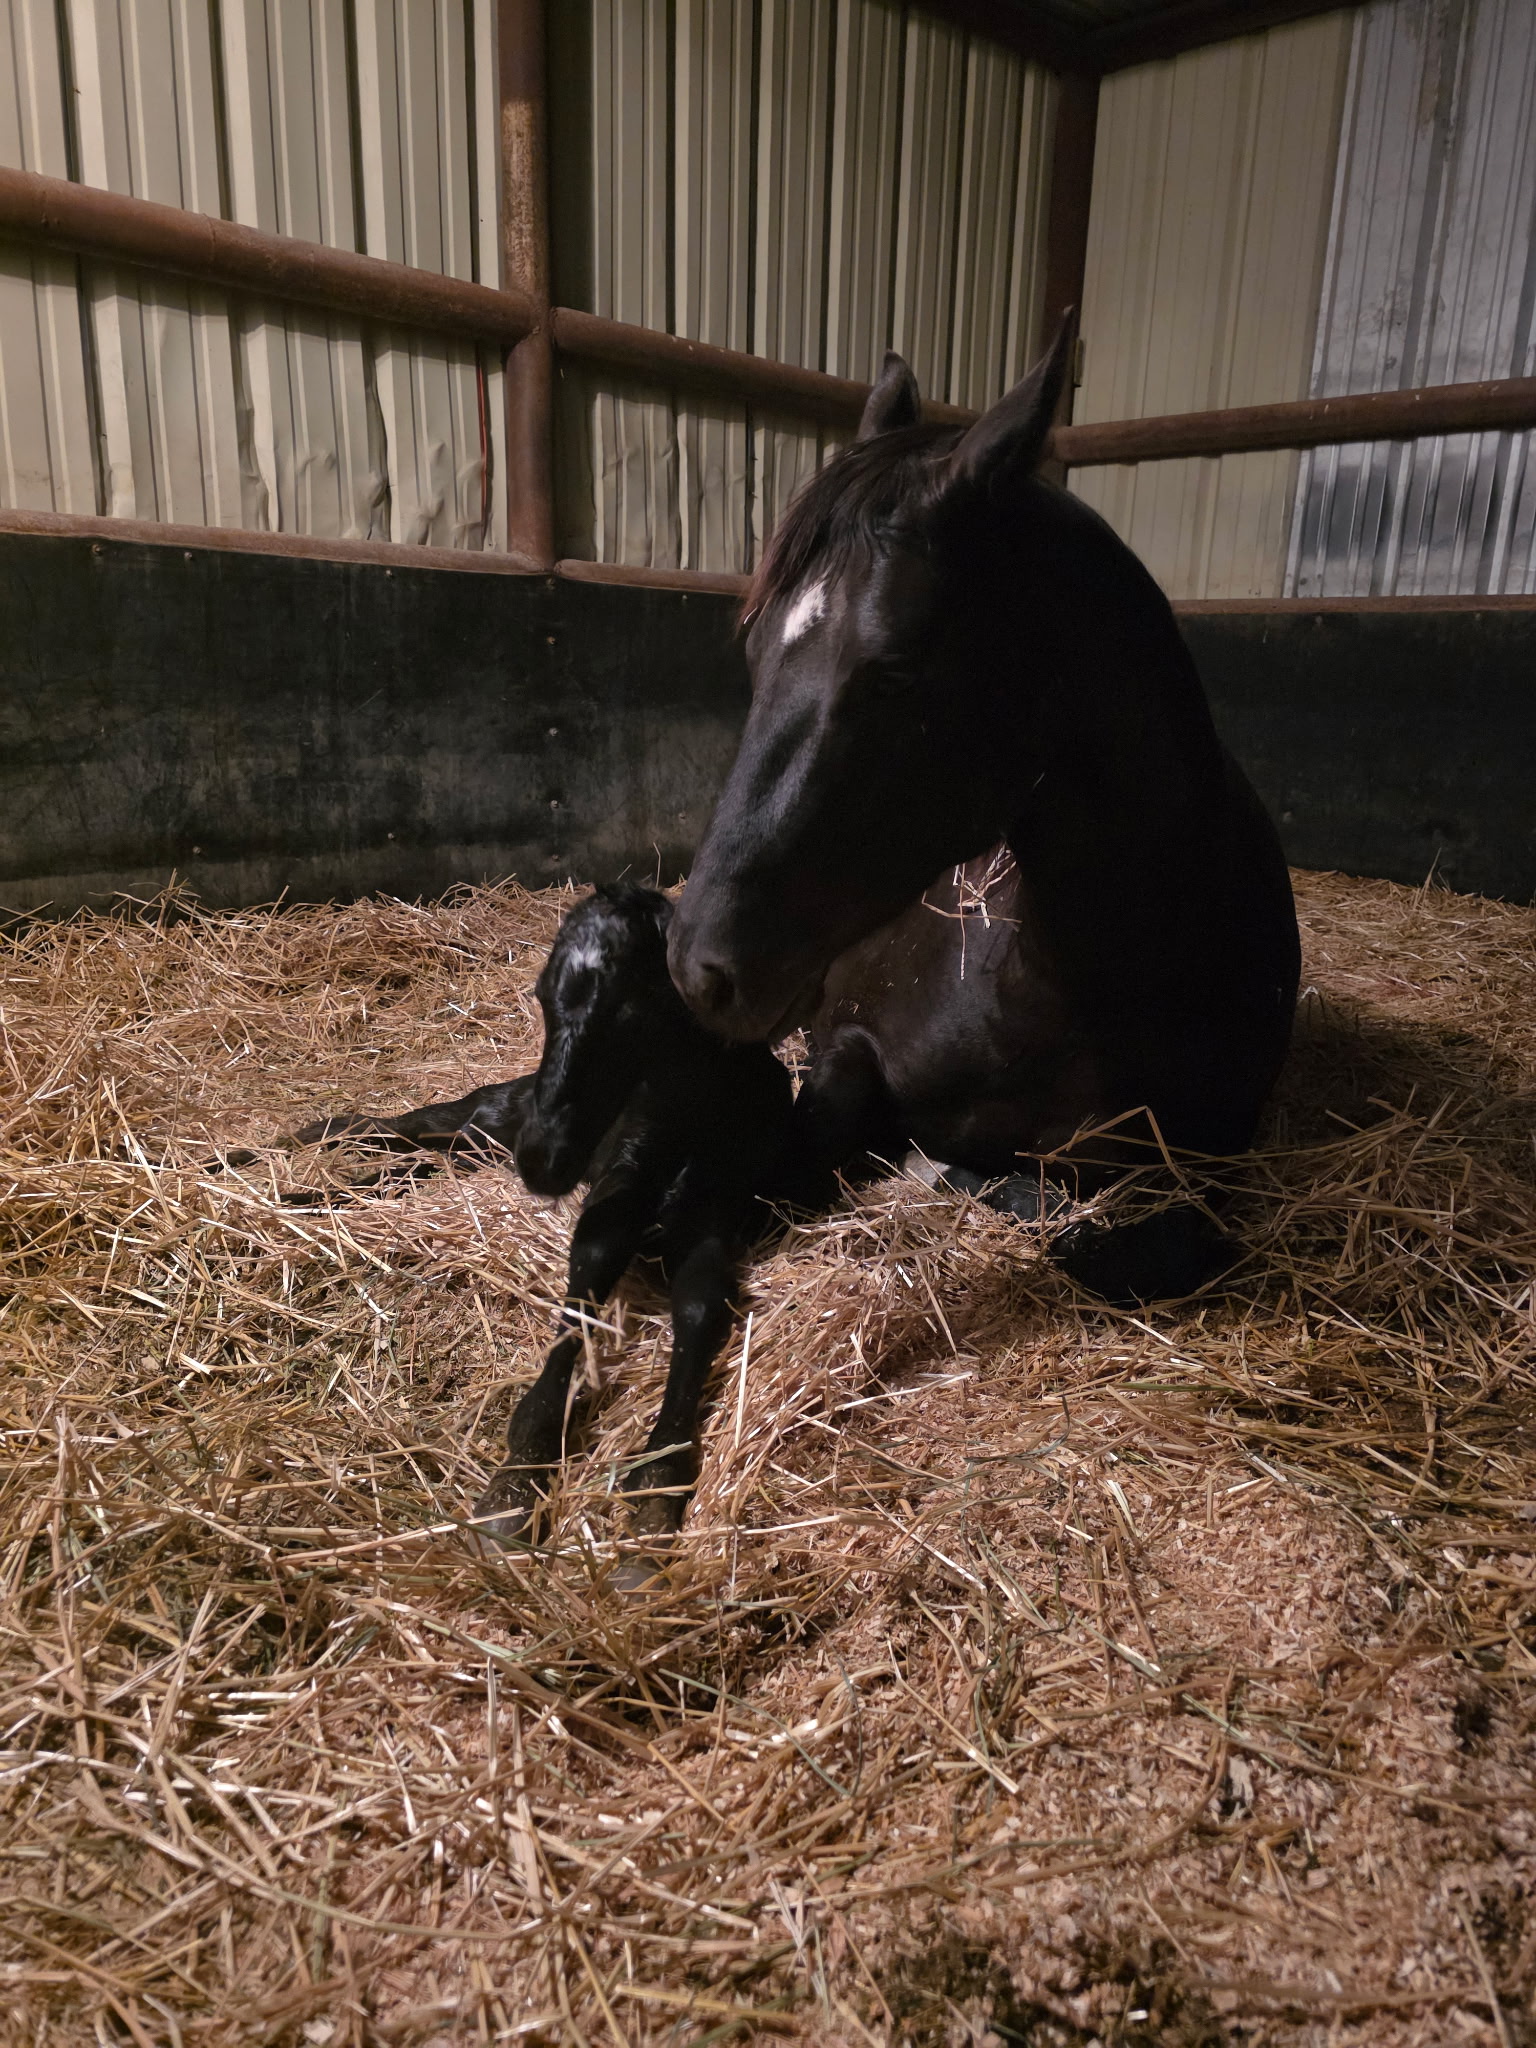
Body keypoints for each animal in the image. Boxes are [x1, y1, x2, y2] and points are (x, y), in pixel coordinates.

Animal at [290, 883, 801, 1562]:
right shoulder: (615, 1187)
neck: (692, 1119)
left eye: (633, 1011)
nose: (543, 1157)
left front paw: (657, 1485)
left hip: (480, 1145)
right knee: (397, 1127)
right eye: (540, 995)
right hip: (488, 1119)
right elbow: (591, 1266)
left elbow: (699, 1303)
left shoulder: (717, 1215)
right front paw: (520, 1474)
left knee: (406, 1163)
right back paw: (271, 1152)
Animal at [665, 320, 1301, 1303]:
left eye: (894, 671)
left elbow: (1121, 1243)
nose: (700, 968)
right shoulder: (846, 1044)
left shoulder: (1213, 1159)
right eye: (755, 649)